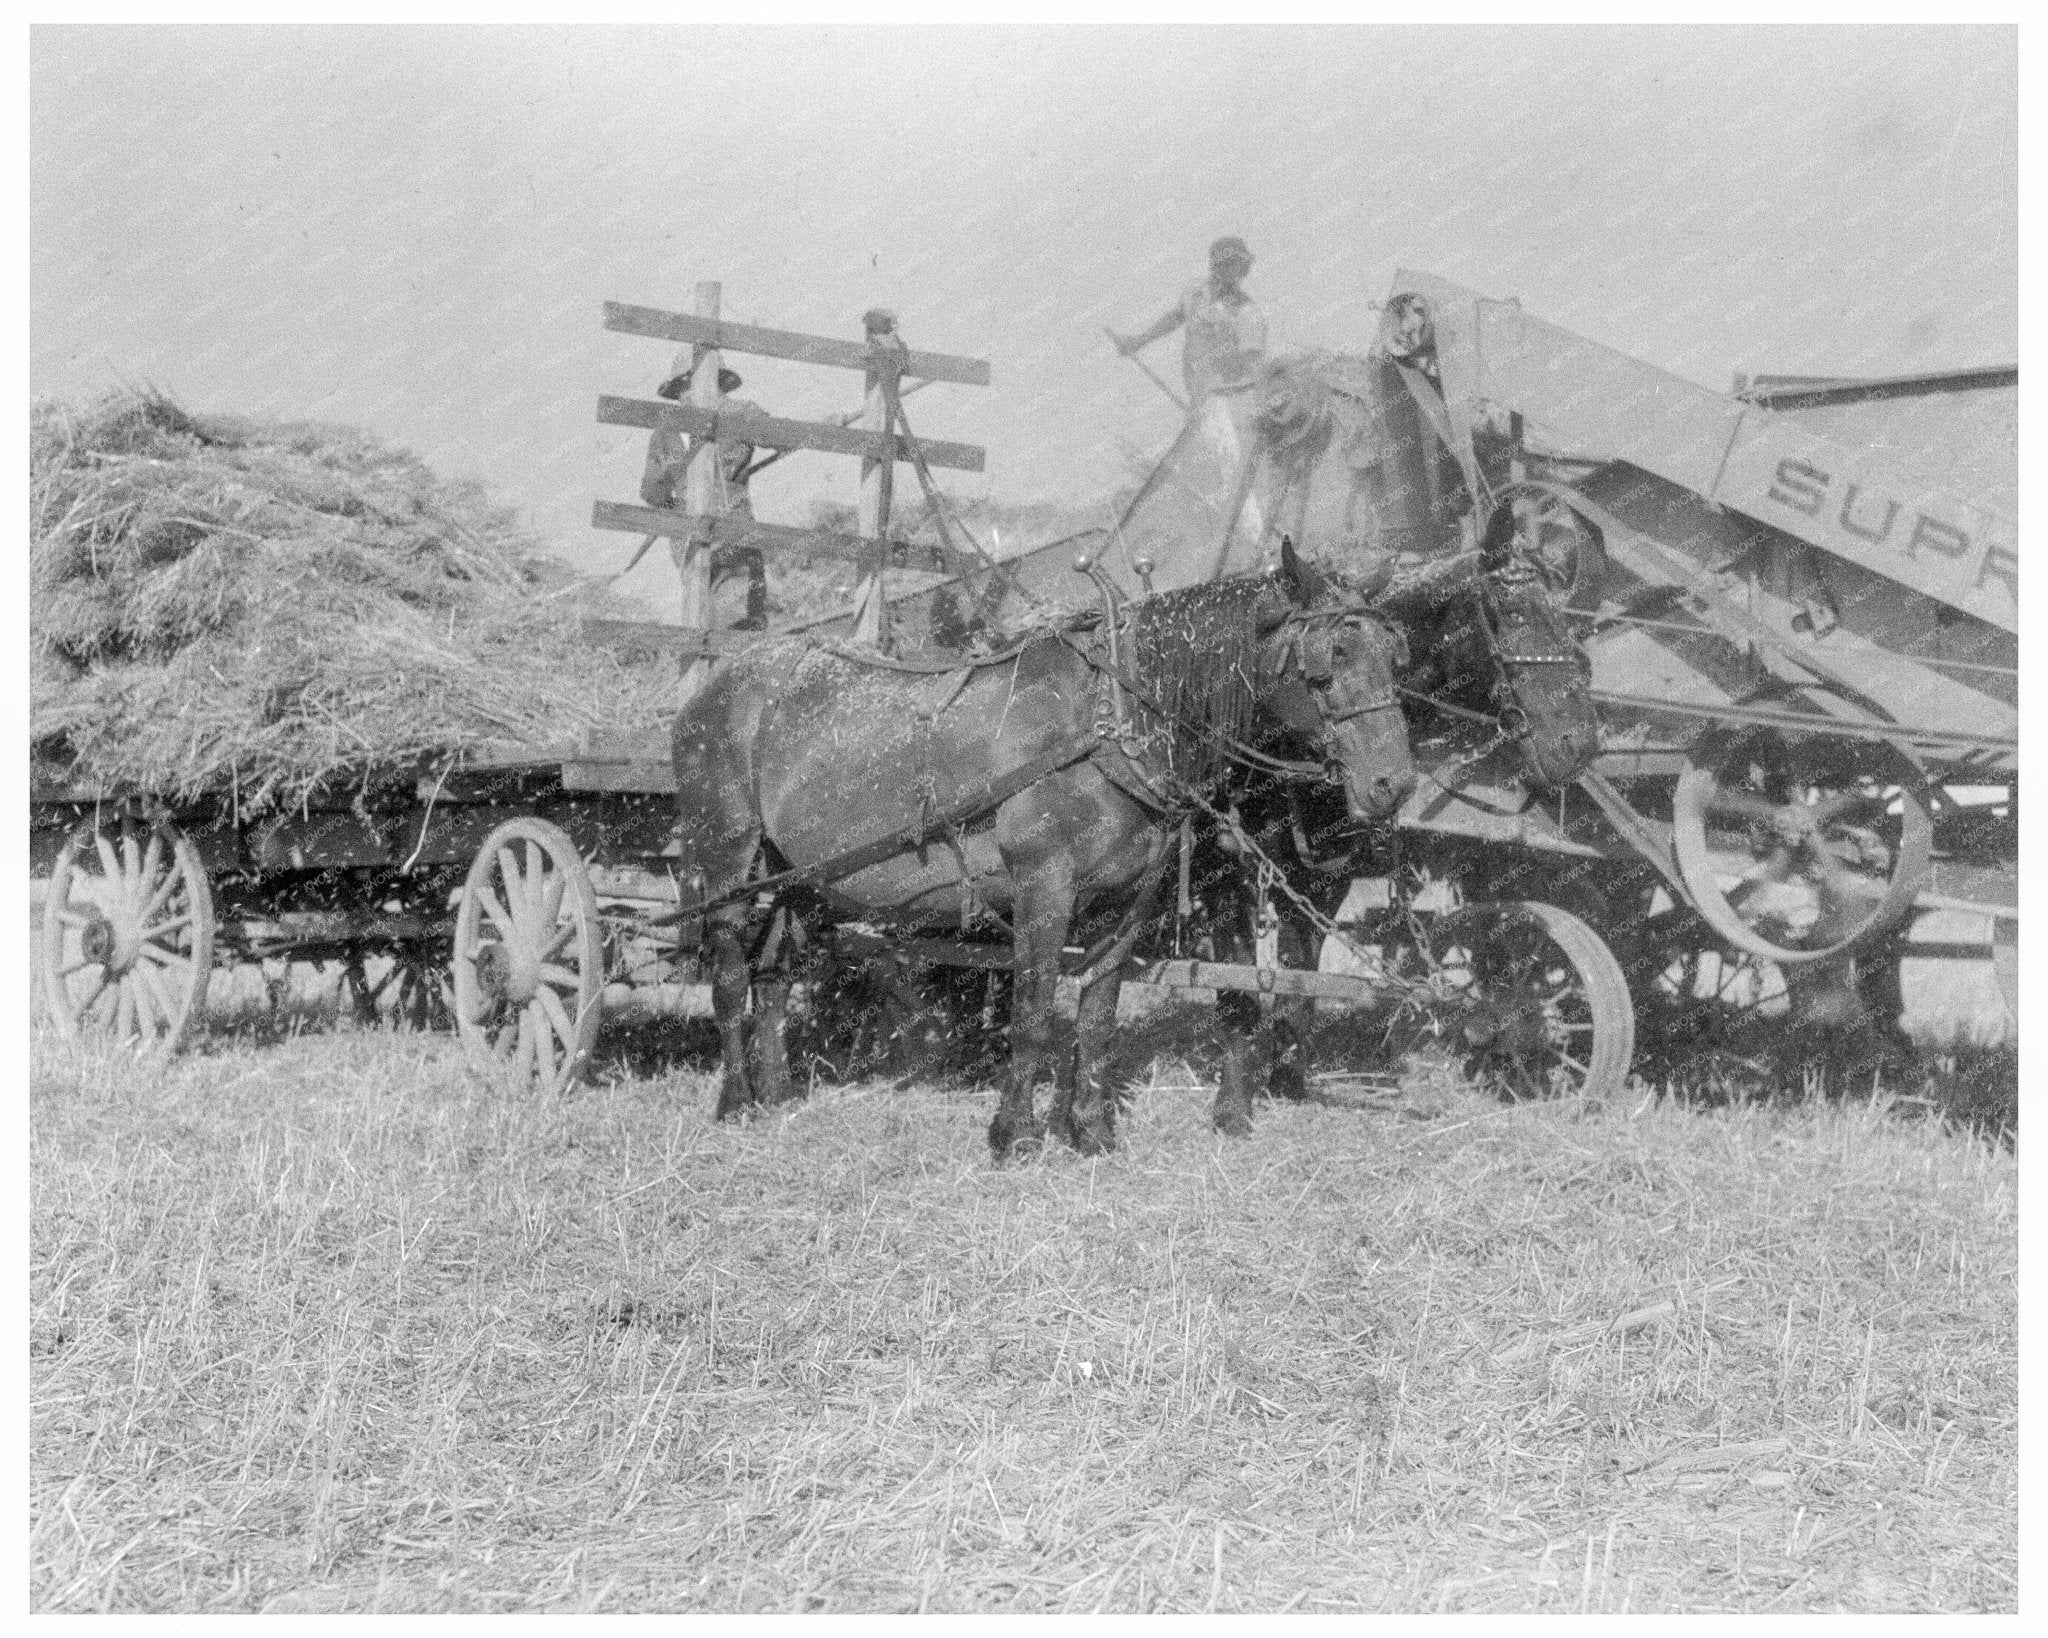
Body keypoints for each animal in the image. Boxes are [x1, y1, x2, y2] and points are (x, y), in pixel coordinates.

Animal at [671, 544, 1425, 1154]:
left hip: (801, 872)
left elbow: (1098, 1015)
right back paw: (736, 1101)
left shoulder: (1127, 904)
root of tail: (717, 683)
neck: (1110, 724)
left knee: (776, 968)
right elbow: (1031, 1012)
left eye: (1395, 655)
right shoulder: (1043, 888)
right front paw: (1016, 1134)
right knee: (733, 971)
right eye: (1328, 661)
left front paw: (1090, 1132)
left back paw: (778, 1095)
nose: (1392, 784)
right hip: (727, 855)